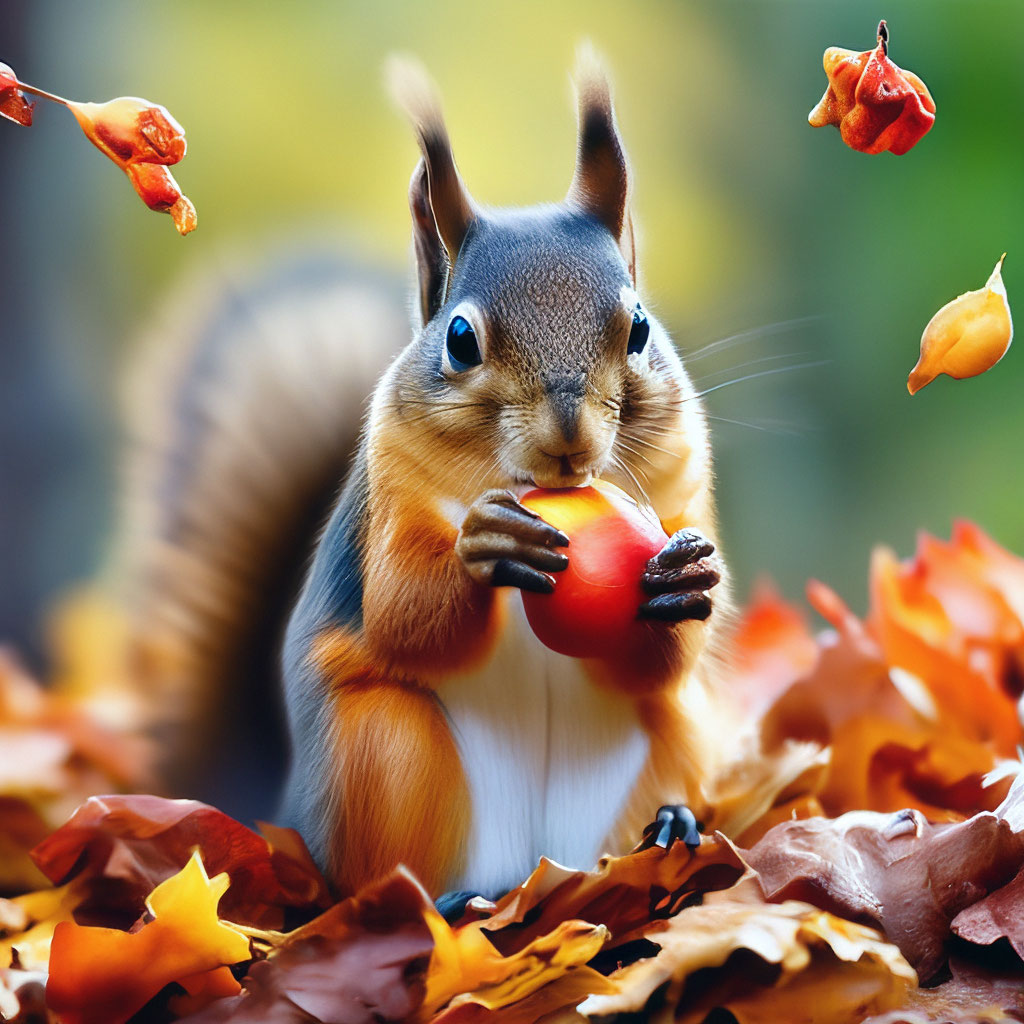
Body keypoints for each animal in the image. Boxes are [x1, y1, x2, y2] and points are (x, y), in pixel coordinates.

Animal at [117, 49, 729, 905]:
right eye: (460, 338)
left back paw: (670, 826)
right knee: (383, 874)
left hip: (671, 740)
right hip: (385, 752)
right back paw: (443, 898)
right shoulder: (392, 494)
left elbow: (667, 655)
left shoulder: (678, 486)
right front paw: (486, 547)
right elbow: (403, 609)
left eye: (639, 327)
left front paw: (680, 581)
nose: (569, 440)